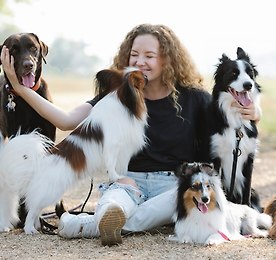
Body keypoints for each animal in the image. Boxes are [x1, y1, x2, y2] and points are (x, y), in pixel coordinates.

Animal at [0, 67, 148, 234]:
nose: (147, 75)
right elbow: (111, 165)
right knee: (32, 210)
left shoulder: (123, 151)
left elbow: (121, 166)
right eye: (142, 76)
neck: (122, 98)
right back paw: (30, 229)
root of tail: (37, 162)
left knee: (36, 210)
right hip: (50, 193)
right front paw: (116, 177)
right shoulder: (112, 146)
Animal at [208, 46, 262, 209]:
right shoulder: (216, 158)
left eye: (250, 74)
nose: (248, 85)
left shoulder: (249, 159)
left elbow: (246, 195)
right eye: (233, 74)